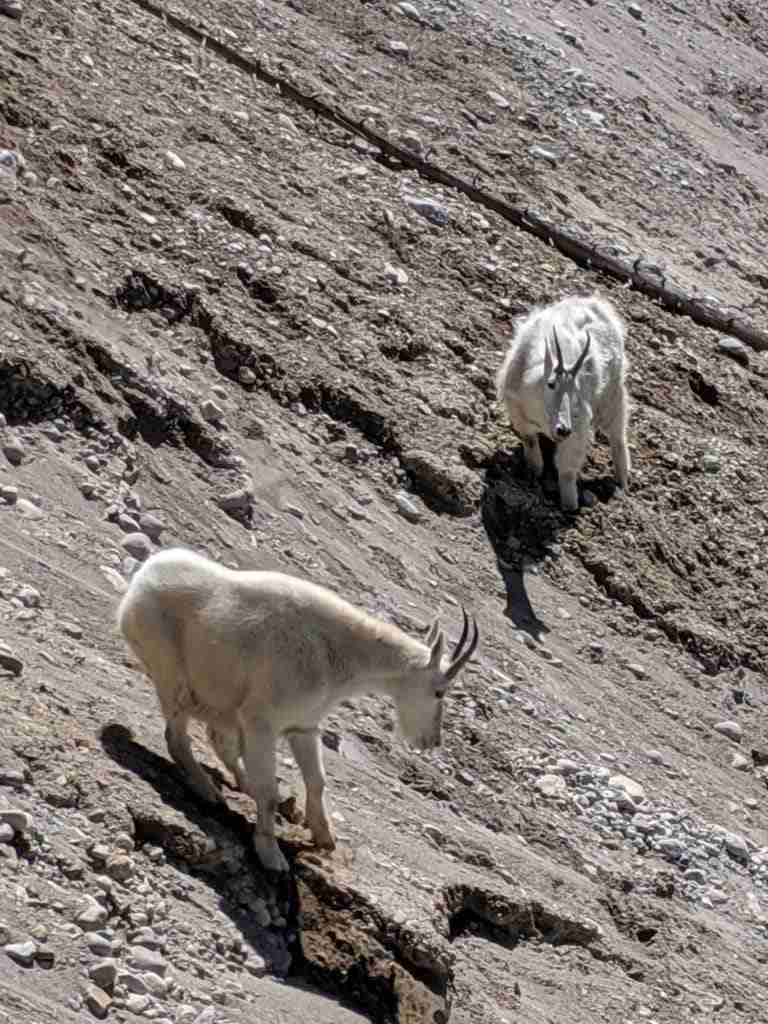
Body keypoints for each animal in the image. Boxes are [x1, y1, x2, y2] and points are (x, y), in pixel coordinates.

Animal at [115, 547, 479, 872]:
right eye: (439, 691)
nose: (430, 741)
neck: (338, 657)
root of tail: (138, 582)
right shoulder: (261, 722)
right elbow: (269, 791)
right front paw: (270, 854)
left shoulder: (304, 727)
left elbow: (317, 781)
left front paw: (325, 836)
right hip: (172, 675)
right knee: (178, 738)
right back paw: (208, 790)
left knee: (218, 742)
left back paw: (238, 785)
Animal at [495, 293, 631, 511]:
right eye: (551, 384)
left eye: (575, 389)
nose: (563, 429)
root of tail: (598, 304)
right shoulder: (517, 409)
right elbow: (530, 441)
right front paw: (534, 472)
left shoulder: (579, 425)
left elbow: (567, 470)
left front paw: (569, 505)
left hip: (612, 395)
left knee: (618, 436)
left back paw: (622, 482)